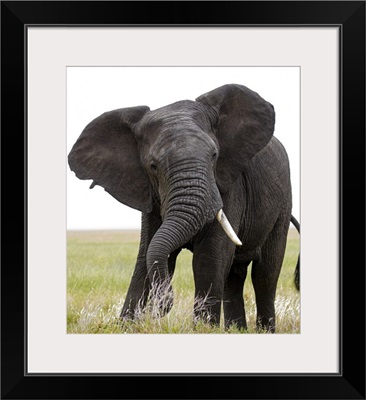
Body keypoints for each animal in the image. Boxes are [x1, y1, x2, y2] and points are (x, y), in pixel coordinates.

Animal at [68, 82, 300, 332]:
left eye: (214, 155)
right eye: (153, 166)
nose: (163, 303)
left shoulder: (226, 184)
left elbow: (209, 258)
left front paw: (203, 329)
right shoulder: (150, 195)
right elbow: (147, 253)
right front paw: (126, 327)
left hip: (282, 205)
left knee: (265, 274)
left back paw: (264, 330)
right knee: (234, 276)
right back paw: (236, 331)